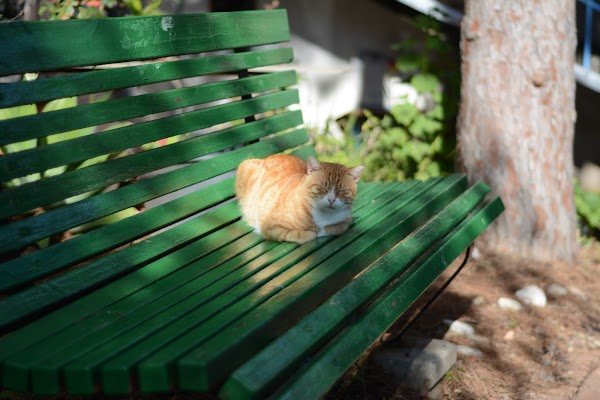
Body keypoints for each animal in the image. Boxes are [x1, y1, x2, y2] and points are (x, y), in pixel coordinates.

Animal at [235, 154, 364, 244]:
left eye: (341, 190)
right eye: (322, 188)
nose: (331, 200)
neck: (324, 216)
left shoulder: (347, 219)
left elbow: (337, 227)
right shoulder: (270, 227)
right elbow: (302, 235)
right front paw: (312, 232)